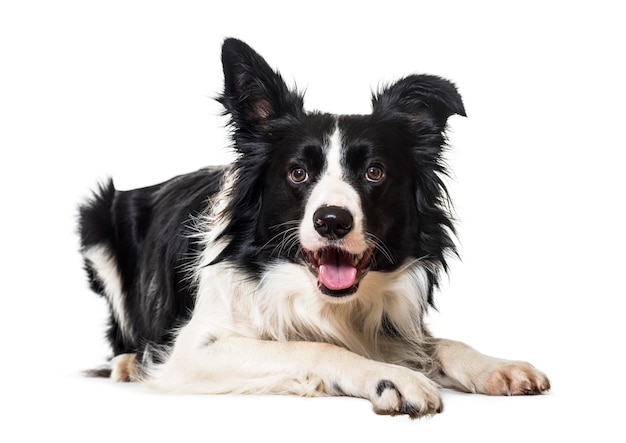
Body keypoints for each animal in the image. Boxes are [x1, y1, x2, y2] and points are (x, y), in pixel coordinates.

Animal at [79, 39, 544, 420]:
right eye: (298, 173)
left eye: (374, 172)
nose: (333, 220)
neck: (322, 301)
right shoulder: (192, 351)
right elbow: (313, 345)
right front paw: (392, 377)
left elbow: (439, 342)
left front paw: (494, 366)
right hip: (97, 220)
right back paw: (127, 364)